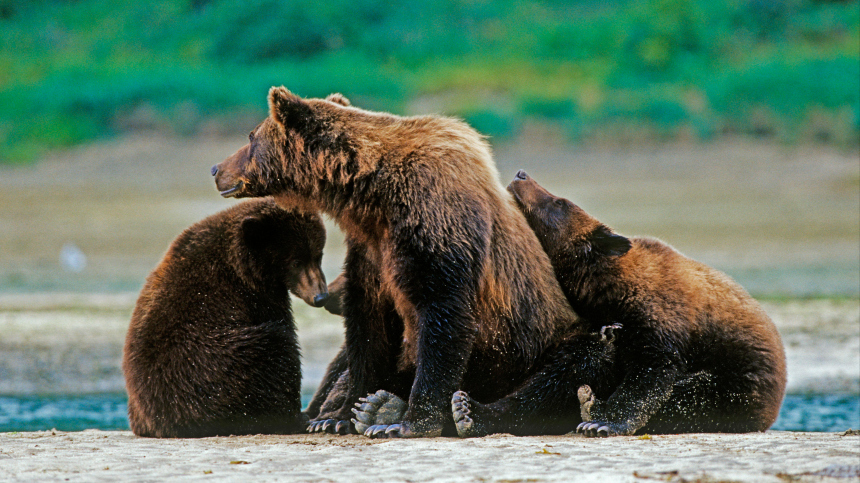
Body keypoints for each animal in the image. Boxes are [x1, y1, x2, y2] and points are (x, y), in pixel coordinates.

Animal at [122, 199, 330, 436]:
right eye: (295, 261)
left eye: (318, 255)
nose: (320, 296)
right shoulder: (255, 295)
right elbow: (282, 328)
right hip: (206, 368)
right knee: (274, 347)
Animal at [212, 88, 584, 438]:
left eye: (250, 136)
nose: (216, 168)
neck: (372, 193)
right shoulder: (371, 248)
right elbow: (368, 325)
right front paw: (340, 416)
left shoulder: (434, 216)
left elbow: (443, 311)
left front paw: (411, 422)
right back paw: (376, 407)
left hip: (537, 341)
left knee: (563, 371)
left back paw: (468, 413)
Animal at [484, 172, 788, 436]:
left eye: (560, 202)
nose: (521, 175)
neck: (607, 287)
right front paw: (606, 335)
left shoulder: (659, 314)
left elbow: (651, 373)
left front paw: (603, 422)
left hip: (740, 381)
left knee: (692, 397)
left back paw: (590, 404)